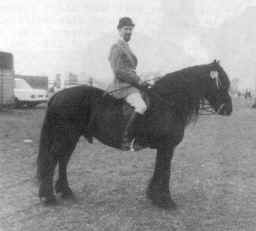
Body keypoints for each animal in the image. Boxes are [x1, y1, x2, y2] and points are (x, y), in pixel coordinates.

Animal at [37, 60, 232, 208]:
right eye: (222, 83)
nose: (228, 109)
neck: (167, 102)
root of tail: (57, 95)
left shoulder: (163, 148)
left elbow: (159, 169)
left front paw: (154, 197)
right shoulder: (167, 147)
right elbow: (165, 171)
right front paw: (166, 201)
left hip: (71, 138)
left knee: (63, 160)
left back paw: (66, 192)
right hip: (66, 136)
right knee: (53, 160)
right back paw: (48, 197)